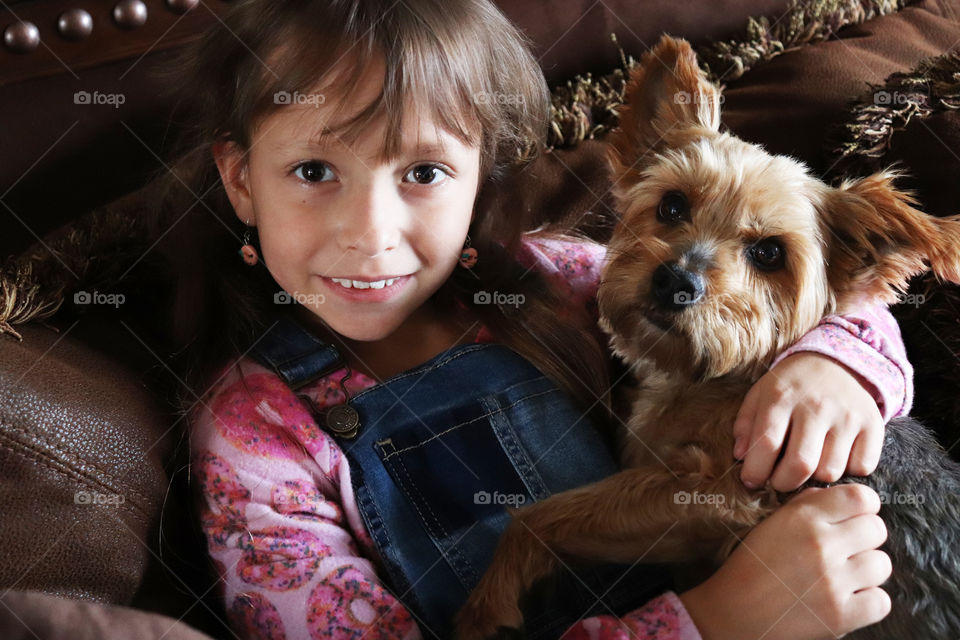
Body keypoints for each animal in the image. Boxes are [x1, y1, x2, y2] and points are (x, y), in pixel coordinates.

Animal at [454, 36, 960, 640]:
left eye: (770, 253)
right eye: (672, 204)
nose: (674, 280)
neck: (718, 377)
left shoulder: (716, 493)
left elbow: (545, 514)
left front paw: (486, 603)